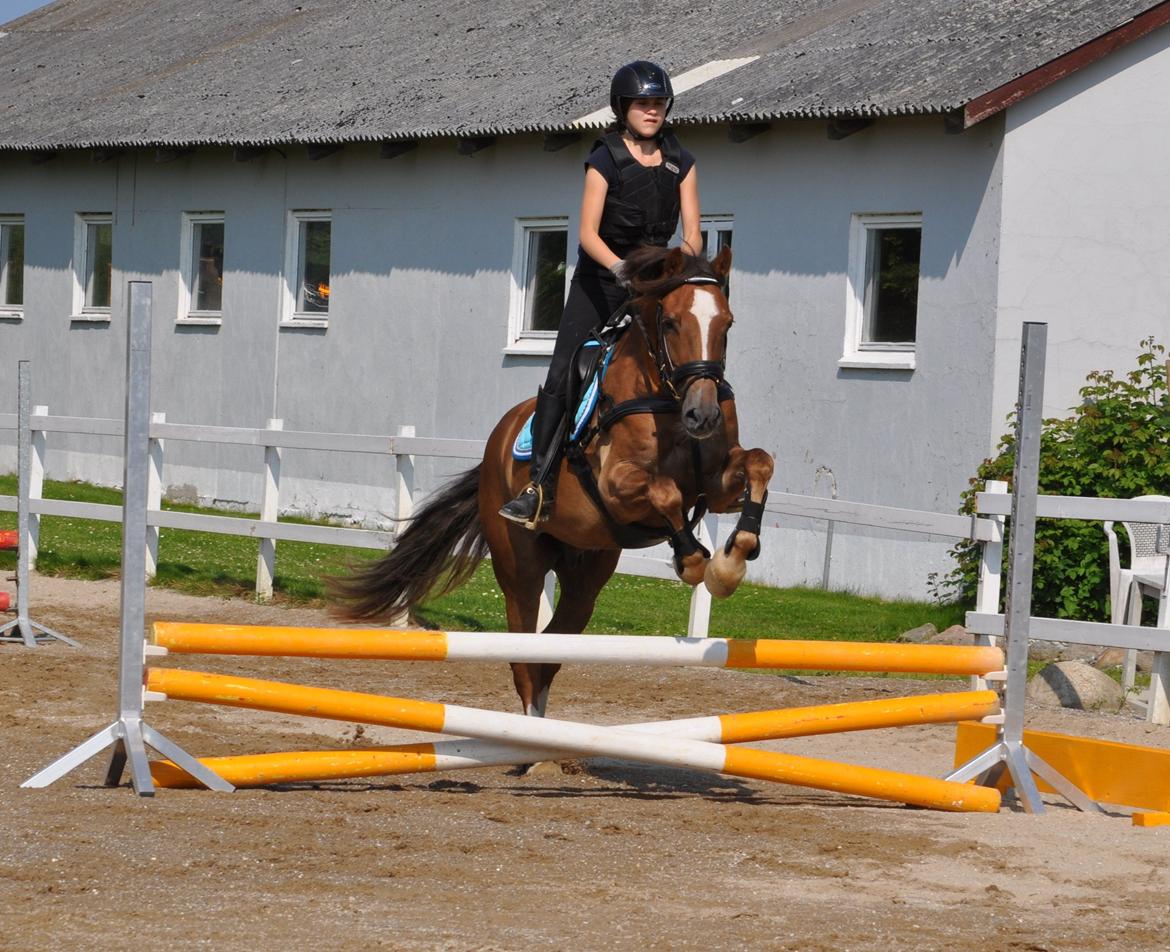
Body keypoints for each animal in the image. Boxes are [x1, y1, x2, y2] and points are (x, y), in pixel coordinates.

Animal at [332, 247, 767, 725]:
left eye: (726, 323)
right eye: (671, 322)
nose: (703, 416)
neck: (666, 400)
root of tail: (496, 446)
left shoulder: (716, 486)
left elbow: (759, 464)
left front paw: (732, 561)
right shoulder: (617, 487)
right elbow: (665, 492)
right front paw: (693, 561)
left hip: (585, 574)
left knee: (550, 650)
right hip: (519, 569)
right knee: (524, 652)